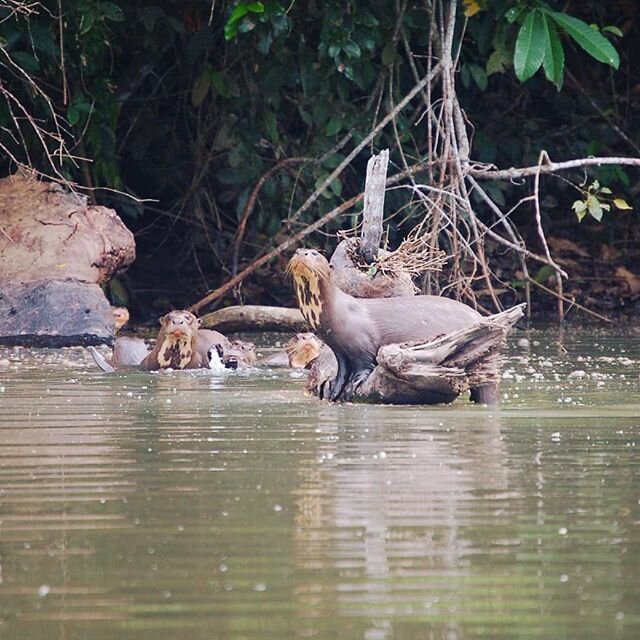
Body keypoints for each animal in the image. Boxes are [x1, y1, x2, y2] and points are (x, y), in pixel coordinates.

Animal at [288, 249, 492, 402]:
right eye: (297, 251)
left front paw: (352, 386)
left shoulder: (361, 344)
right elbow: (342, 370)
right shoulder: (339, 348)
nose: (301, 253)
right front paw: (335, 390)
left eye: (314, 253)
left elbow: (364, 365)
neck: (335, 311)